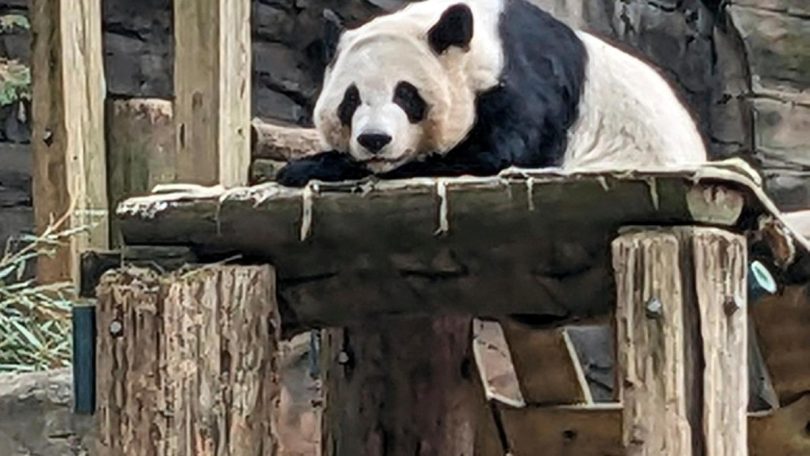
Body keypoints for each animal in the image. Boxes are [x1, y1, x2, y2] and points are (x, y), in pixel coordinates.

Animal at [276, 0, 707, 187]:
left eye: (407, 96)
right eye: (350, 100)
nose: (375, 140)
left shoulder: (526, 83)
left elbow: (494, 155)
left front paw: (308, 167)